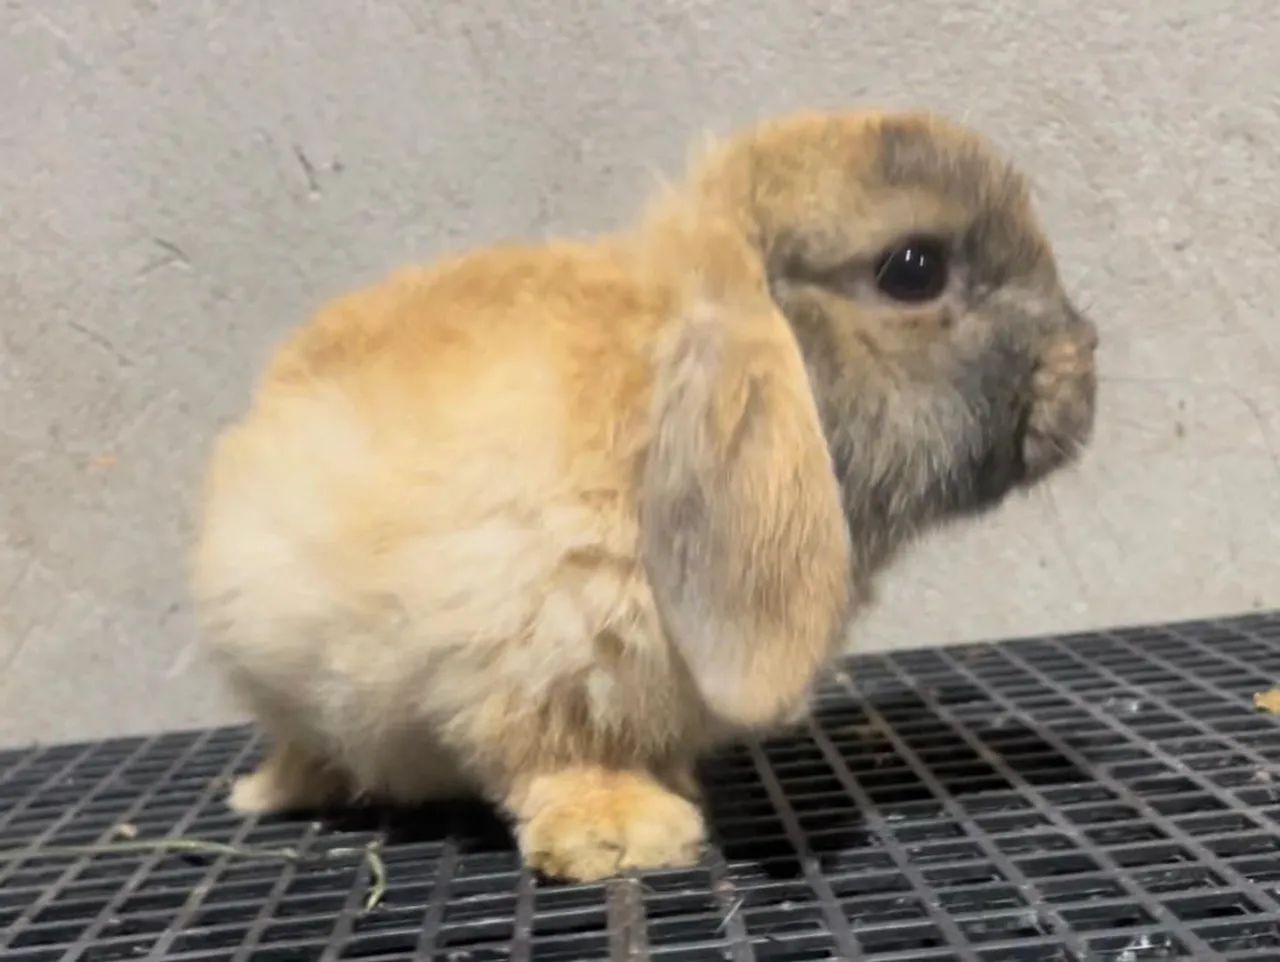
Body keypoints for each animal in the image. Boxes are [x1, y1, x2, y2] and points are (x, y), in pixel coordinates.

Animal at [191, 109, 1097, 882]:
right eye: (913, 269)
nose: (1081, 368)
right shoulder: (530, 642)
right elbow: (553, 749)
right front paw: (625, 837)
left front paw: (671, 791)